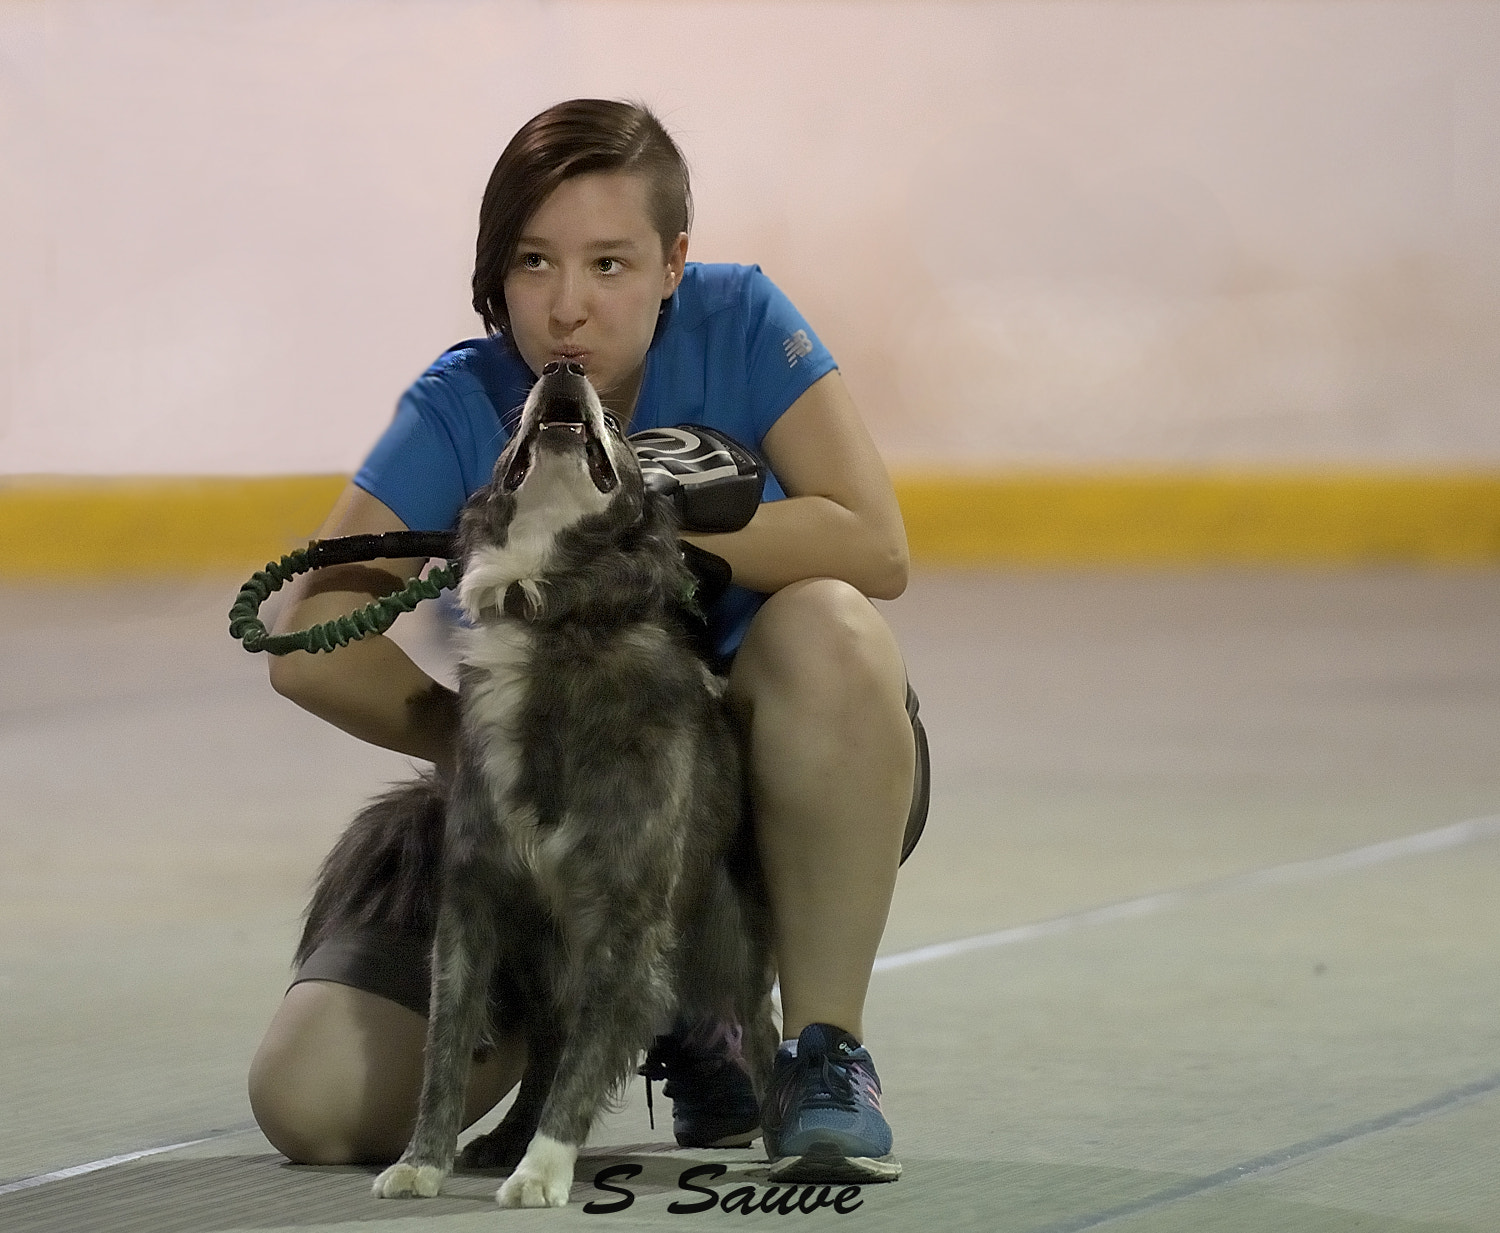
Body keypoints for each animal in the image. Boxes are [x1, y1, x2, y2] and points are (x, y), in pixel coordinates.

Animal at [336, 357, 780, 1206]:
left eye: (624, 437)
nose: (564, 367)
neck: (553, 616)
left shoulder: (623, 916)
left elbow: (585, 1060)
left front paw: (543, 1168)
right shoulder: (473, 906)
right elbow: (445, 1046)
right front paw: (423, 1159)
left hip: (724, 943)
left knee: (761, 1028)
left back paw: (793, 1135)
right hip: (540, 958)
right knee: (545, 1048)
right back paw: (501, 1138)